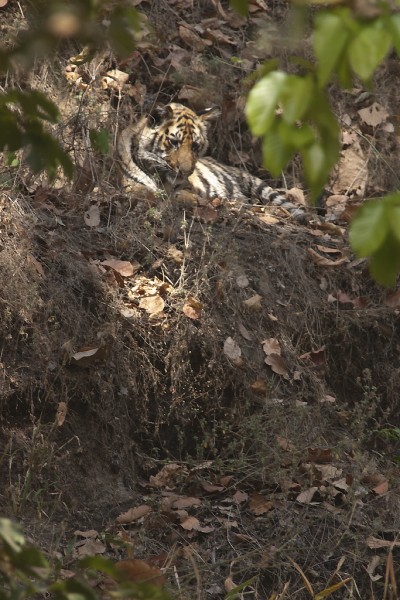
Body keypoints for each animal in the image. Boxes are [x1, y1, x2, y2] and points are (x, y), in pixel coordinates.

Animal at [116, 102, 288, 205]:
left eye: (195, 145)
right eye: (174, 142)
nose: (185, 171)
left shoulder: (186, 187)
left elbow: (181, 194)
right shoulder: (129, 183)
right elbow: (143, 190)